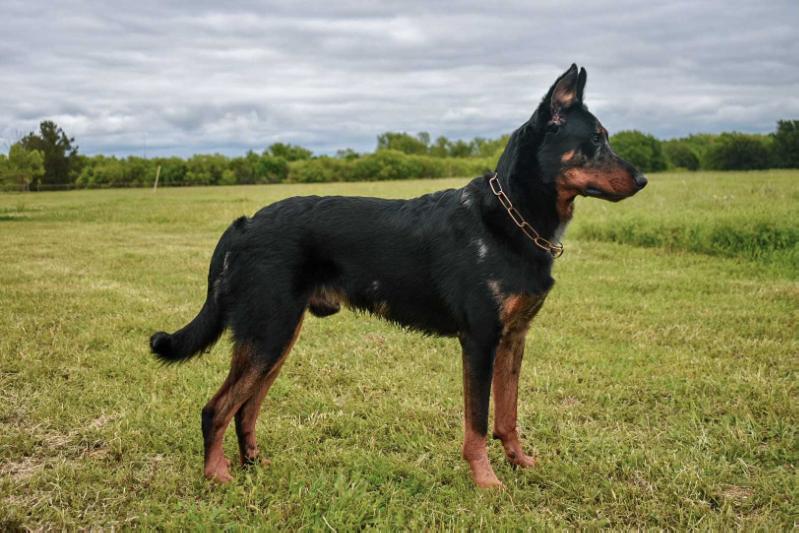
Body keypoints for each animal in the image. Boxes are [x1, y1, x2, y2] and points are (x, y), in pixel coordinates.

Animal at [152, 64, 648, 488]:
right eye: (597, 139)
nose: (644, 180)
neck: (512, 217)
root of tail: (244, 224)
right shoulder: (480, 341)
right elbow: (477, 422)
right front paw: (486, 481)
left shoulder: (514, 339)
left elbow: (507, 415)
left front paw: (519, 463)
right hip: (268, 334)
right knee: (216, 409)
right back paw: (217, 476)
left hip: (276, 338)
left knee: (246, 408)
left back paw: (254, 464)